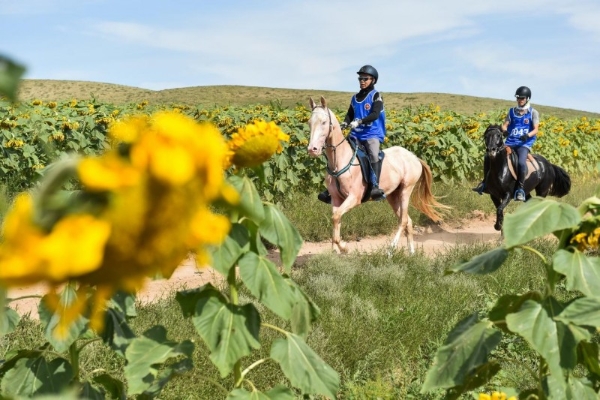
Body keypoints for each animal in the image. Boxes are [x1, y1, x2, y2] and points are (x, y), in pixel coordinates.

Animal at [308, 96, 448, 253]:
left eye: (324, 122)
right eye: (309, 123)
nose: (312, 149)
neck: (340, 161)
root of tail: (414, 157)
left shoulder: (354, 198)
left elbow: (336, 217)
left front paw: (344, 247)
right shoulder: (336, 199)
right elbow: (336, 219)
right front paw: (336, 250)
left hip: (406, 190)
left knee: (403, 220)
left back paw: (391, 249)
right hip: (393, 195)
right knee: (408, 221)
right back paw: (411, 252)